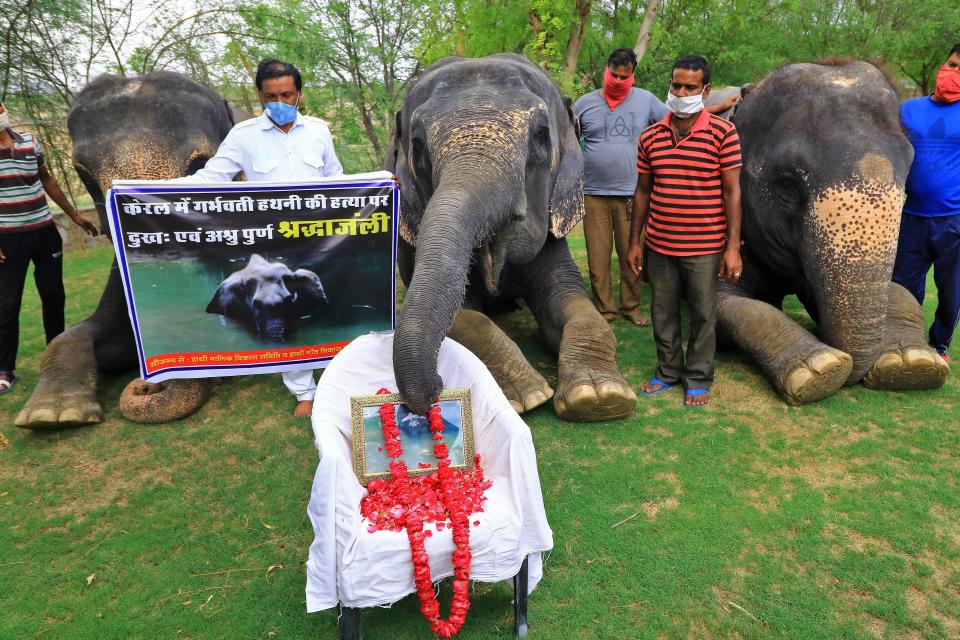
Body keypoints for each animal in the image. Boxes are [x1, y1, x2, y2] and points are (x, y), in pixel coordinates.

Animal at [382, 52, 636, 418]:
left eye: (541, 134)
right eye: (416, 144)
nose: (436, 388)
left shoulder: (551, 236)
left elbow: (576, 302)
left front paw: (599, 398)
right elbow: (464, 319)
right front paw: (526, 396)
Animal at [716, 57, 948, 402]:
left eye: (909, 171)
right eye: (787, 184)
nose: (856, 376)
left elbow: (900, 290)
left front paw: (912, 364)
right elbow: (725, 305)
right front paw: (818, 370)